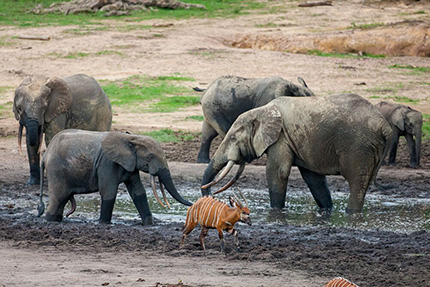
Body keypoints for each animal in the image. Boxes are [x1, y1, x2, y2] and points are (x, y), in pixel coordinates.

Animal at [37, 129, 192, 226]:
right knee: (59, 197)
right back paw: (50, 220)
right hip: (56, 170)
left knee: (62, 199)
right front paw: (104, 223)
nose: (192, 204)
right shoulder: (107, 163)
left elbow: (138, 191)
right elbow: (109, 191)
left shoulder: (131, 163)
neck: (130, 138)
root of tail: (45, 155)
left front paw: (149, 224)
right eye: (150, 156)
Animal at [202, 94, 394, 214]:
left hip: (358, 146)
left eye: (233, 137)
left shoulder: (280, 137)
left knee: (357, 182)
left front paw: (276, 212)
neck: (262, 110)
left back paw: (350, 213)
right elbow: (314, 179)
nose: (211, 196)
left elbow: (277, 172)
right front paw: (326, 211)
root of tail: (384, 125)